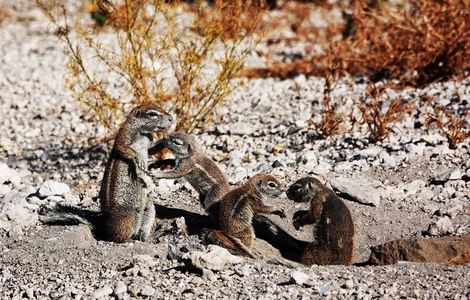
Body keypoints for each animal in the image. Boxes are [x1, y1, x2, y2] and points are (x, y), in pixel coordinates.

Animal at [99, 103, 173, 241]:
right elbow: (122, 147)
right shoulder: (124, 134)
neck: (143, 132)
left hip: (148, 207)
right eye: (152, 114)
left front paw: (166, 140)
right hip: (129, 216)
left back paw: (154, 234)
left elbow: (151, 150)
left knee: (141, 235)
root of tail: (104, 227)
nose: (171, 118)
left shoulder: (149, 142)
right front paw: (139, 159)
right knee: (118, 236)